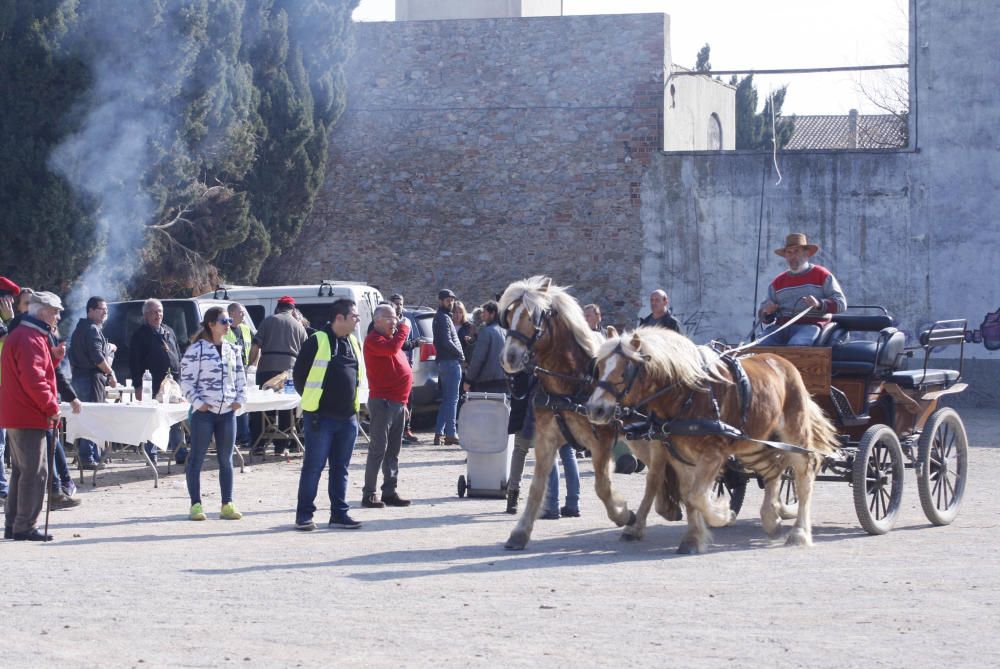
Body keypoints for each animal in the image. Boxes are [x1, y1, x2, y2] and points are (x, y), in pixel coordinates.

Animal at [498, 276, 680, 548]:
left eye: (533, 317)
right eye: (510, 316)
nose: (509, 357)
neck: (574, 381)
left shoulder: (601, 440)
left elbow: (602, 487)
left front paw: (622, 513)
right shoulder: (546, 438)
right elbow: (537, 486)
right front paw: (520, 532)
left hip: (655, 436)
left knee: (655, 474)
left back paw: (637, 524)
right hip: (638, 439)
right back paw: (664, 509)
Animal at [584, 326, 840, 552]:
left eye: (623, 371)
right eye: (598, 366)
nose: (595, 409)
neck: (688, 395)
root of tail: (783, 362)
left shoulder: (712, 454)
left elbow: (697, 496)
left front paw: (723, 514)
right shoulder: (680, 456)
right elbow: (688, 496)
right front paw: (694, 538)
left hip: (794, 434)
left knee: (803, 475)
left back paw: (799, 532)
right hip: (751, 443)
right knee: (773, 469)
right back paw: (771, 518)